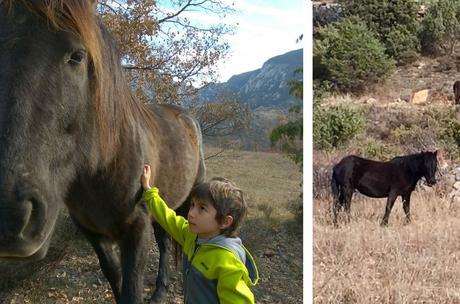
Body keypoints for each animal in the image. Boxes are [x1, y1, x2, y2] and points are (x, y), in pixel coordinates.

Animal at [0, 0, 205, 304]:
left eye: (77, 56)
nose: (10, 217)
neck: (104, 164)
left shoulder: (136, 231)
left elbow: (132, 287)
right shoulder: (91, 230)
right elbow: (114, 275)